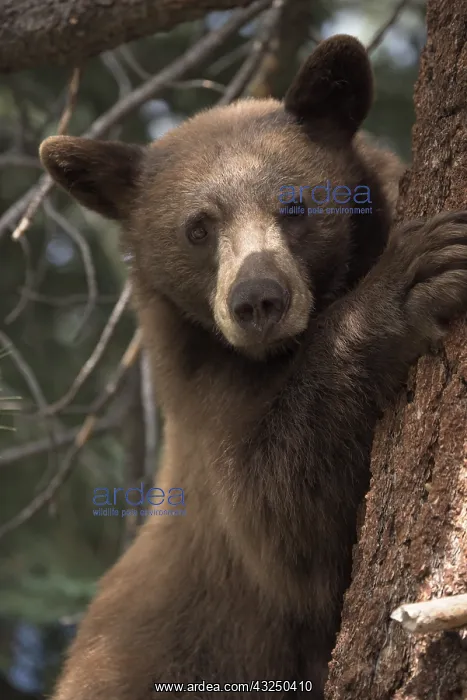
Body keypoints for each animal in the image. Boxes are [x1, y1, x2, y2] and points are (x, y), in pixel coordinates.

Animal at [39, 35, 467, 700]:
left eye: (294, 207)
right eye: (198, 227)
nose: (258, 300)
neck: (274, 356)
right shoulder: (204, 398)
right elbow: (286, 522)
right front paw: (404, 284)